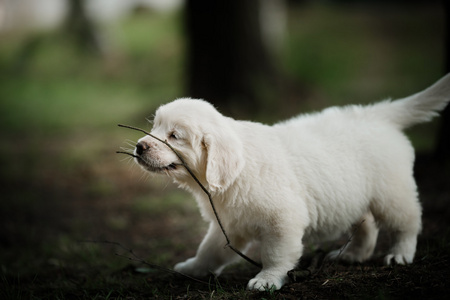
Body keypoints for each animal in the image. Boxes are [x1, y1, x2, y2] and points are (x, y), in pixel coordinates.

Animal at [132, 75, 450, 290]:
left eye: (174, 136)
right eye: (154, 127)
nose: (139, 146)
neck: (233, 177)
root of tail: (377, 114)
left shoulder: (281, 219)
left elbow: (275, 253)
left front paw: (267, 280)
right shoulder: (229, 223)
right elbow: (209, 250)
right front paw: (194, 267)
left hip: (391, 192)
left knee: (408, 221)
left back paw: (400, 254)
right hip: (355, 194)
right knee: (367, 224)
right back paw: (354, 254)